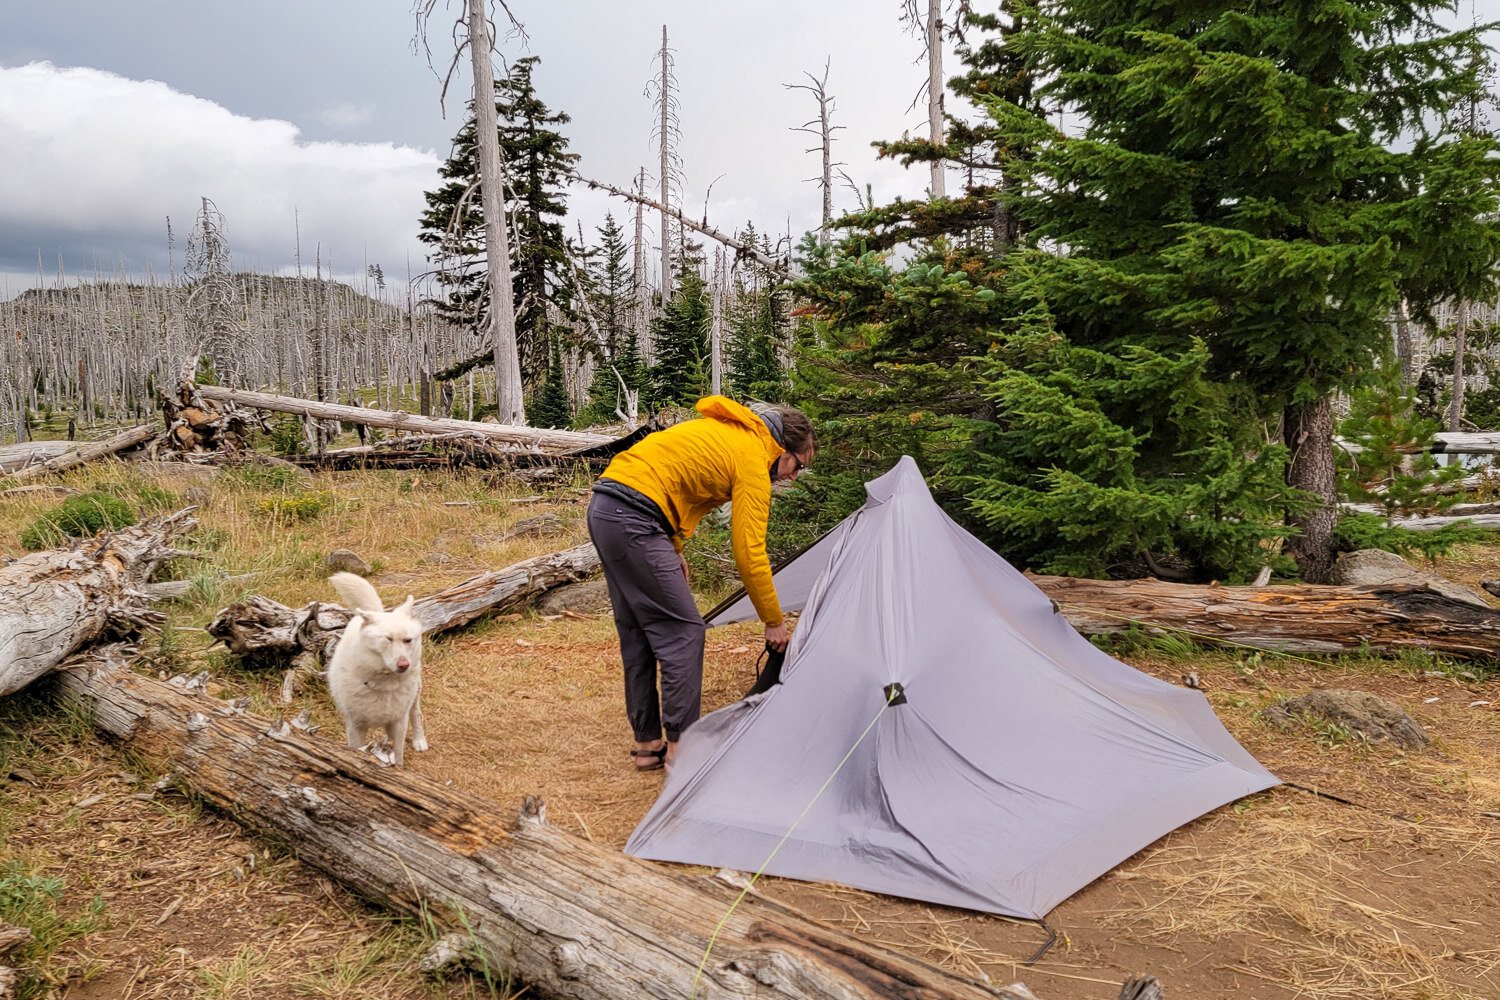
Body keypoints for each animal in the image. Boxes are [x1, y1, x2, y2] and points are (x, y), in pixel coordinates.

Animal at [325, 569, 426, 767]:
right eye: (388, 639)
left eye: (408, 640)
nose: (404, 665)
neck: (383, 684)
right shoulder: (355, 726)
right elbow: (356, 751)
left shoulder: (399, 722)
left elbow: (399, 755)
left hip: (415, 694)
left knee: (416, 713)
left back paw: (420, 741)